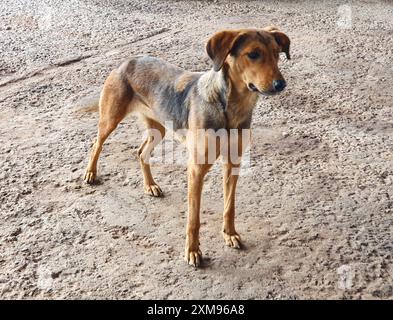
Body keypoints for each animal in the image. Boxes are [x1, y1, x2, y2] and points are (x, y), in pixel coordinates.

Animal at [82, 26, 290, 268]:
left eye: (277, 53)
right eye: (254, 54)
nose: (280, 84)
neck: (230, 108)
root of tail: (127, 61)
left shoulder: (233, 163)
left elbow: (229, 206)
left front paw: (229, 234)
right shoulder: (196, 170)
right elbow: (194, 218)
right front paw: (192, 251)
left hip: (158, 128)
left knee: (141, 152)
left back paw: (151, 186)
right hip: (110, 119)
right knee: (96, 143)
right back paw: (91, 173)